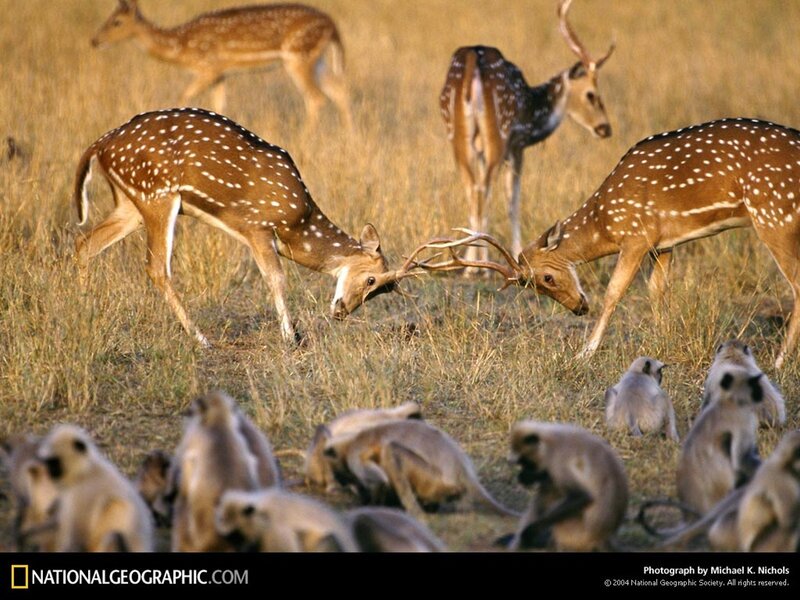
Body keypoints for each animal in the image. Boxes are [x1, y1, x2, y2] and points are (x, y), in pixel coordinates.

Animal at [72, 108, 423, 345]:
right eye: (371, 280)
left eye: (383, 291)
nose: (341, 312)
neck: (297, 225)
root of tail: (100, 145)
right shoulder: (257, 226)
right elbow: (277, 278)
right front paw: (291, 337)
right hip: (157, 194)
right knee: (157, 267)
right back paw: (201, 339)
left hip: (131, 203)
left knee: (84, 243)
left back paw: (86, 309)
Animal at [91, 1, 352, 128]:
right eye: (108, 18)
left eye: (116, 21)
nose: (95, 41)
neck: (181, 45)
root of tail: (332, 25)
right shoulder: (221, 74)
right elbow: (219, 104)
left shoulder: (209, 67)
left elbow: (183, 95)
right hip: (316, 59)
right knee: (339, 90)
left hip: (297, 56)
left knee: (316, 97)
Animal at [406, 118, 800, 369]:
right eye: (535, 287)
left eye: (547, 278)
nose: (579, 308)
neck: (605, 221)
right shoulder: (663, 243)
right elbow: (657, 291)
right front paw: (662, 346)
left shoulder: (637, 235)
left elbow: (614, 292)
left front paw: (585, 353)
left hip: (774, 215)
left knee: (797, 285)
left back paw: (779, 363)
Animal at [438, 0, 614, 268]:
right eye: (591, 94)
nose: (605, 128)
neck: (533, 114)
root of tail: (472, 62)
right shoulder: (517, 145)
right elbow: (513, 200)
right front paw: (516, 253)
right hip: (498, 133)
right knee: (484, 189)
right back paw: (479, 268)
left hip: (458, 136)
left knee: (471, 187)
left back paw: (470, 263)